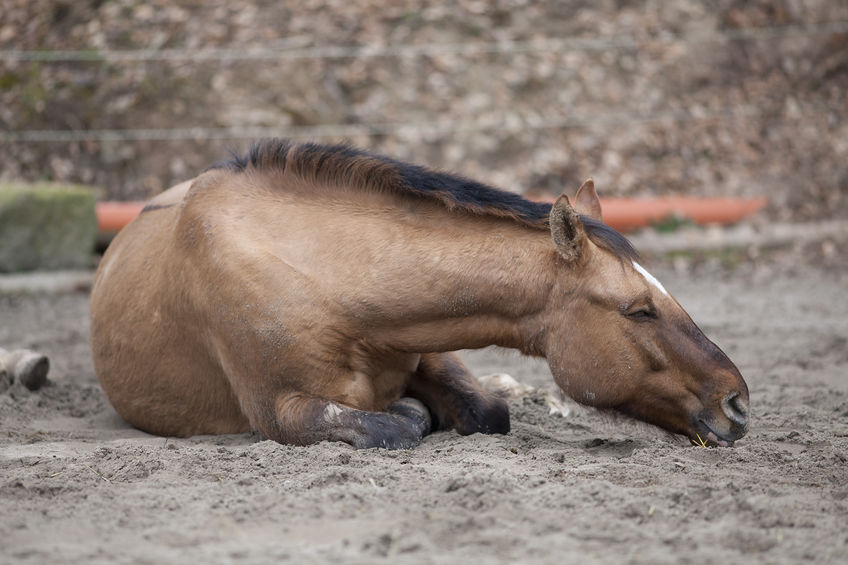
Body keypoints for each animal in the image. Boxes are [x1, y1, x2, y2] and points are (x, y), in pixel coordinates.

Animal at [91, 141, 748, 450]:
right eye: (639, 310)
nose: (737, 403)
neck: (326, 278)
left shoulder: (431, 344)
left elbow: (487, 411)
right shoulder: (282, 411)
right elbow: (394, 425)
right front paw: (412, 414)